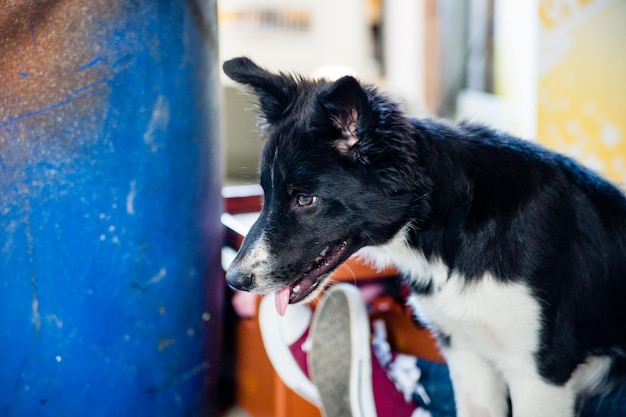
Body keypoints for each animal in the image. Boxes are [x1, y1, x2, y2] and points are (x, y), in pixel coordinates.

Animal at [224, 57, 624, 414]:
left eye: (305, 199)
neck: (453, 223)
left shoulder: (540, 375)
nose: (233, 280)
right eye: (265, 193)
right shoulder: (468, 354)